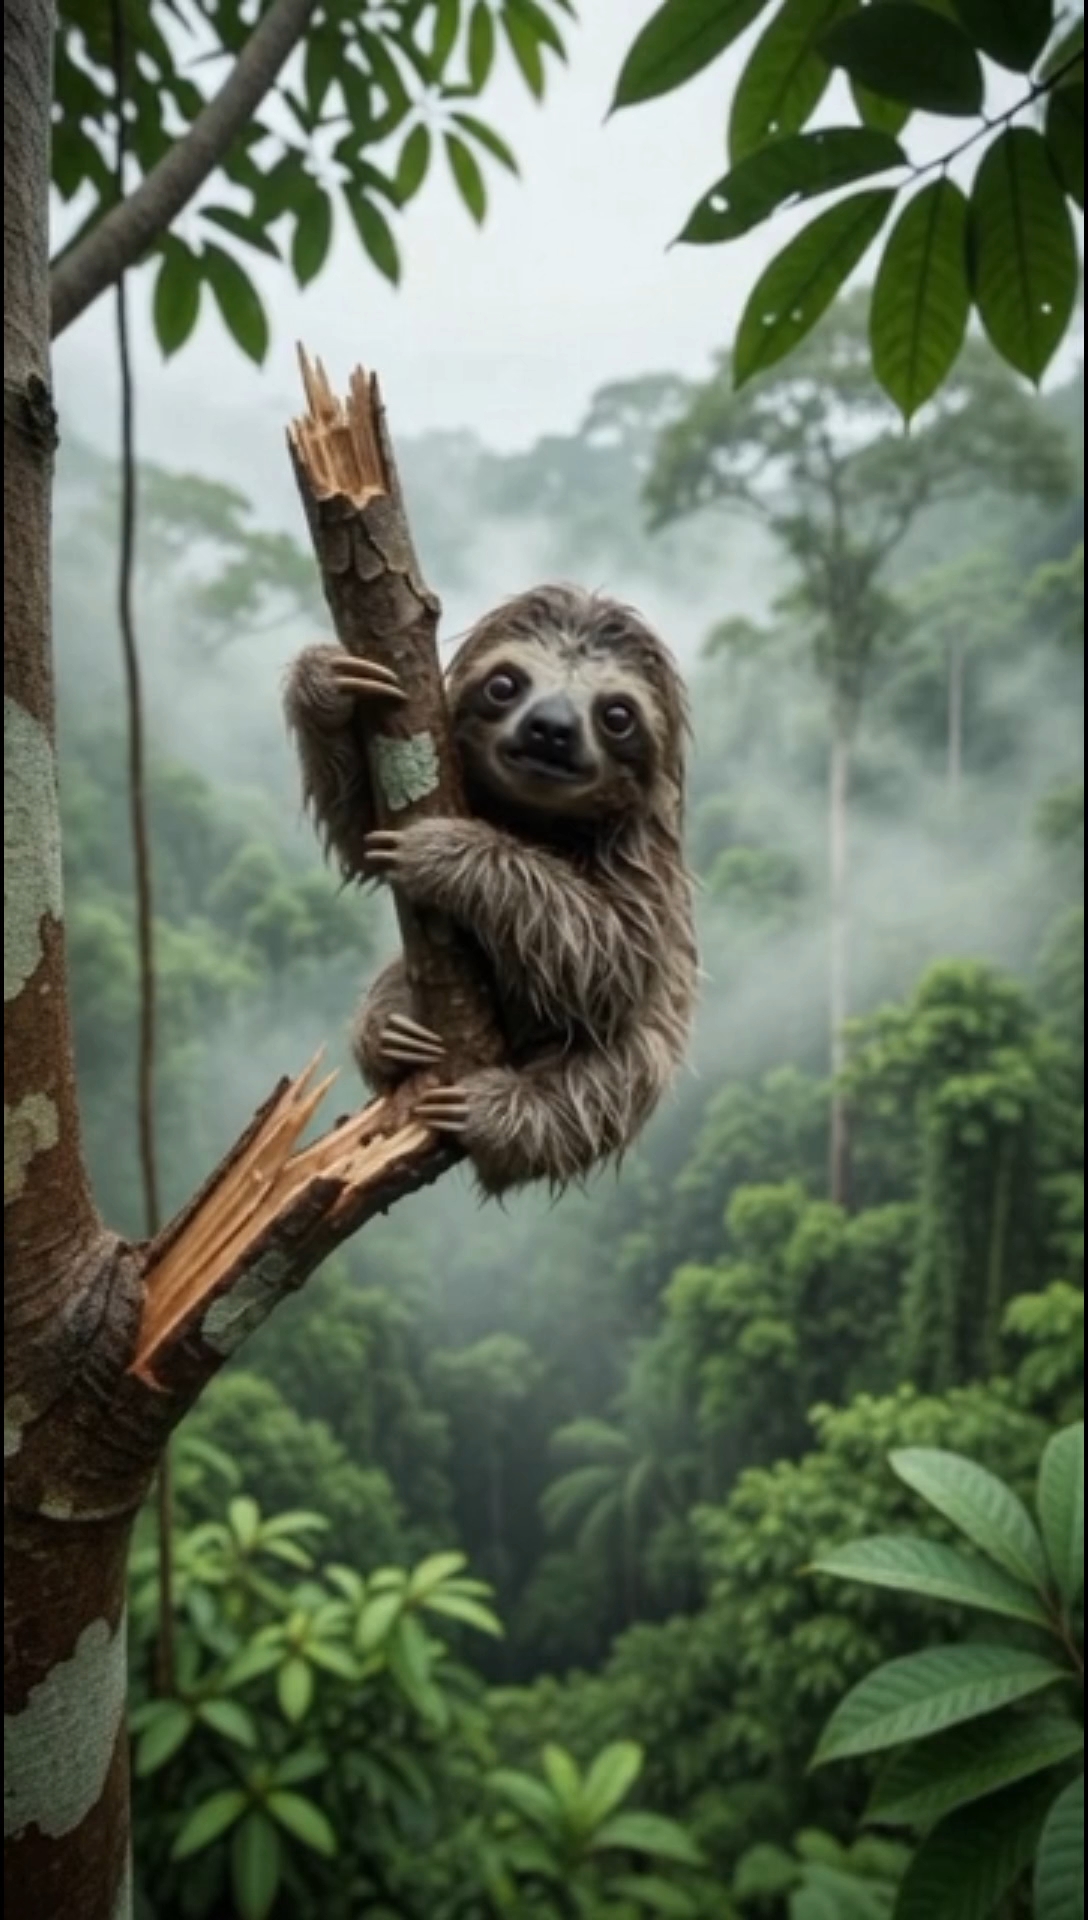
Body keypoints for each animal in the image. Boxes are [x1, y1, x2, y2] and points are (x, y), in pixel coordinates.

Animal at [283, 584, 698, 1197]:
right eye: (504, 685)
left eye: (618, 716)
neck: (537, 820)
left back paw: (490, 1113)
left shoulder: (645, 858)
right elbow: (363, 837)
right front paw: (326, 683)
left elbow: (614, 960)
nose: (551, 727)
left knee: (617, 1075)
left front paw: (444, 850)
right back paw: (393, 1028)